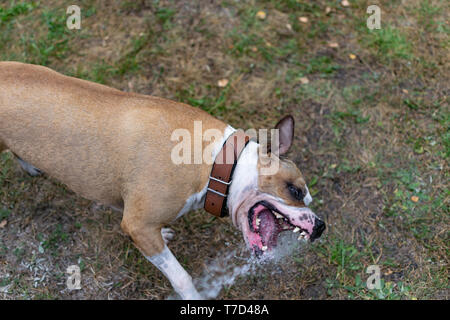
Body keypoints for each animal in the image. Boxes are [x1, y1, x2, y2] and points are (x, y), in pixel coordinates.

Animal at [0, 62, 324, 300]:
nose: (320, 226)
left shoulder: (138, 217)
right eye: (295, 190)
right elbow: (180, 276)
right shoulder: (139, 225)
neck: (216, 163)